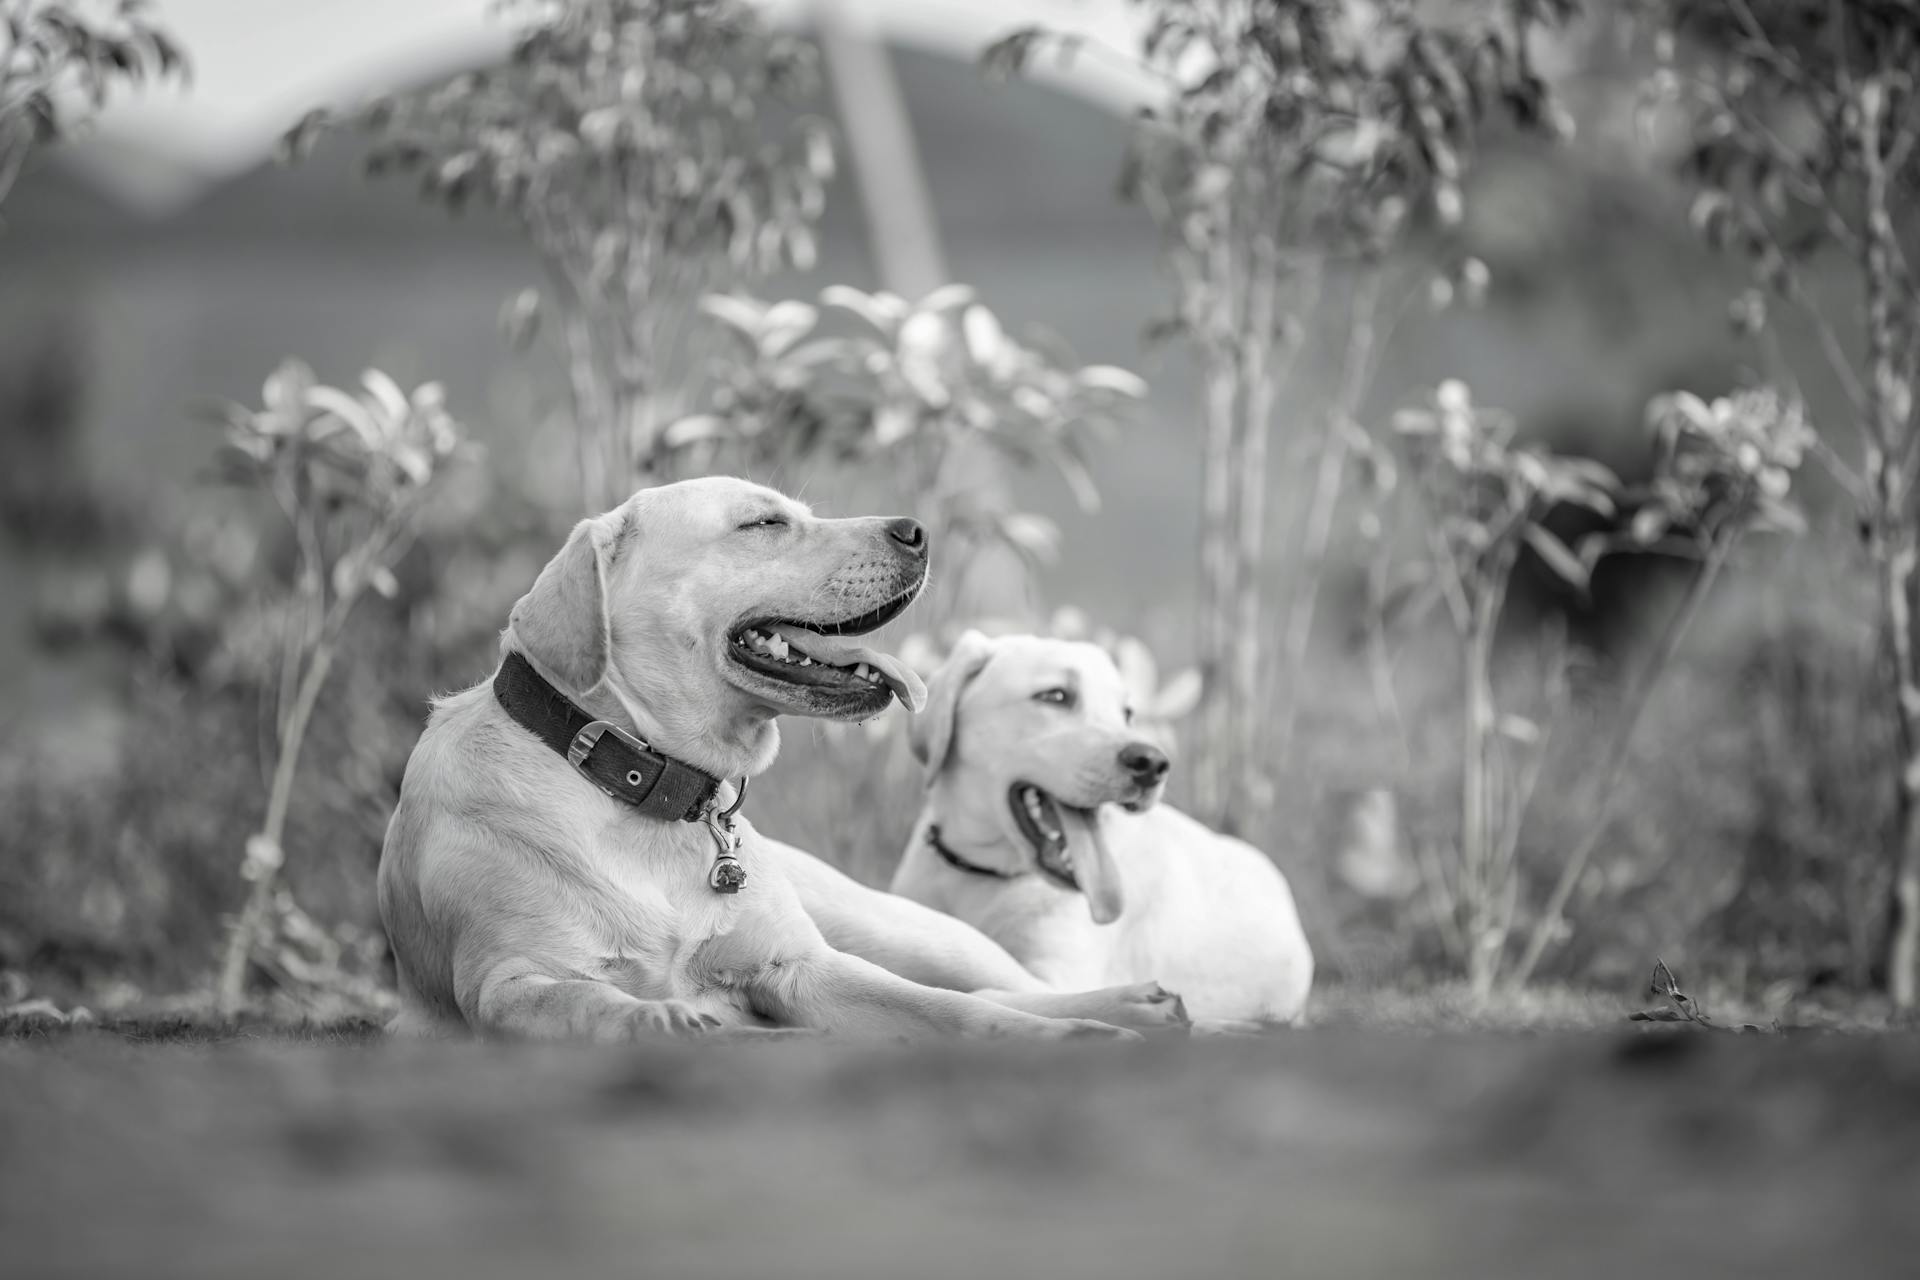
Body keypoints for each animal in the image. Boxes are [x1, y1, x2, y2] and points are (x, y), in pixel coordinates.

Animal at [376, 475, 1182, 1043]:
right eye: (763, 523)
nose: (917, 530)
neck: (648, 792)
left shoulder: (803, 971)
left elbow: (961, 1012)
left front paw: (1072, 1034)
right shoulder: (503, 984)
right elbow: (585, 1001)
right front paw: (654, 1017)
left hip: (903, 929)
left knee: (995, 985)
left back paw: (1141, 1006)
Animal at [887, 629, 1313, 1028]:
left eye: (1127, 713)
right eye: (1056, 696)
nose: (1152, 763)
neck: (980, 874)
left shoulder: (1054, 976)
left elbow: (983, 992)